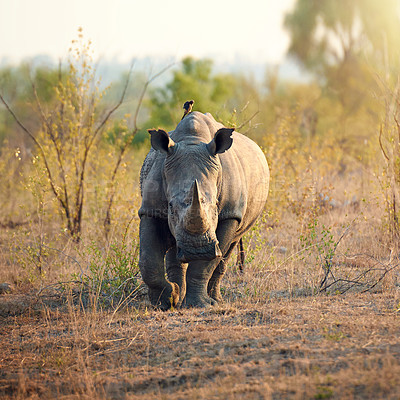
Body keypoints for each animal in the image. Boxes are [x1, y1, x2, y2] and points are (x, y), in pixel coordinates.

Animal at [139, 109, 270, 310]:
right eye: (170, 207)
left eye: (216, 205)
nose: (197, 250)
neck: (192, 141)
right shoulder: (150, 210)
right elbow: (148, 261)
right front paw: (166, 301)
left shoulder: (229, 214)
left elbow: (206, 264)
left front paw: (199, 305)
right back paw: (178, 295)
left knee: (228, 250)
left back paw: (215, 300)